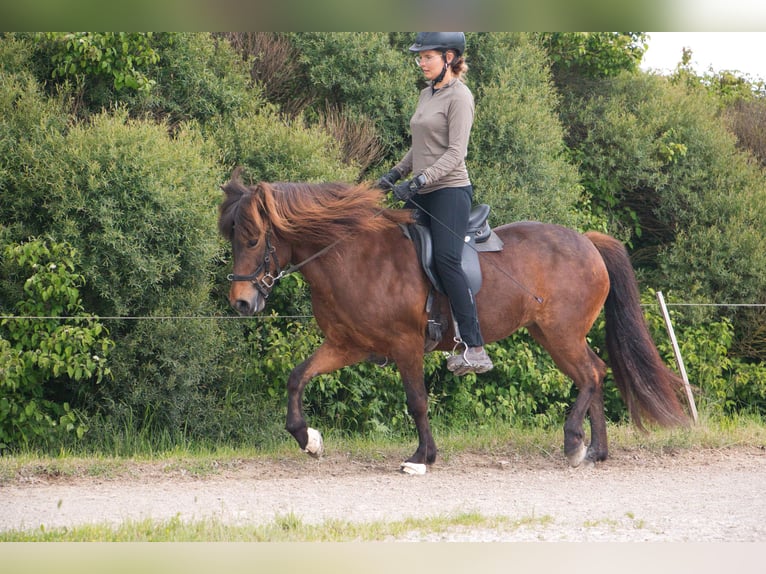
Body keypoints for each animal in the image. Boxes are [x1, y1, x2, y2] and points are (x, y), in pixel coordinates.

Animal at [218, 166, 688, 472]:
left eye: (254, 239)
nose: (241, 303)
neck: (354, 257)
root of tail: (588, 242)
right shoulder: (347, 345)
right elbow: (297, 377)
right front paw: (308, 439)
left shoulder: (406, 344)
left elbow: (417, 401)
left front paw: (421, 458)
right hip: (550, 333)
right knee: (595, 373)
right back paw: (595, 451)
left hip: (561, 334)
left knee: (590, 374)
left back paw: (574, 443)